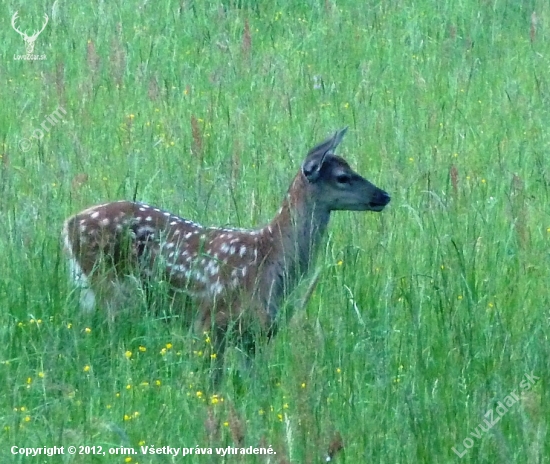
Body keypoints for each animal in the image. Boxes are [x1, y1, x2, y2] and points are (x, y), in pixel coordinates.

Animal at [62, 128, 390, 380]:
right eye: (343, 176)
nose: (384, 195)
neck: (268, 259)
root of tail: (69, 223)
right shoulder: (210, 322)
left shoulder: (256, 335)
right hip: (109, 286)